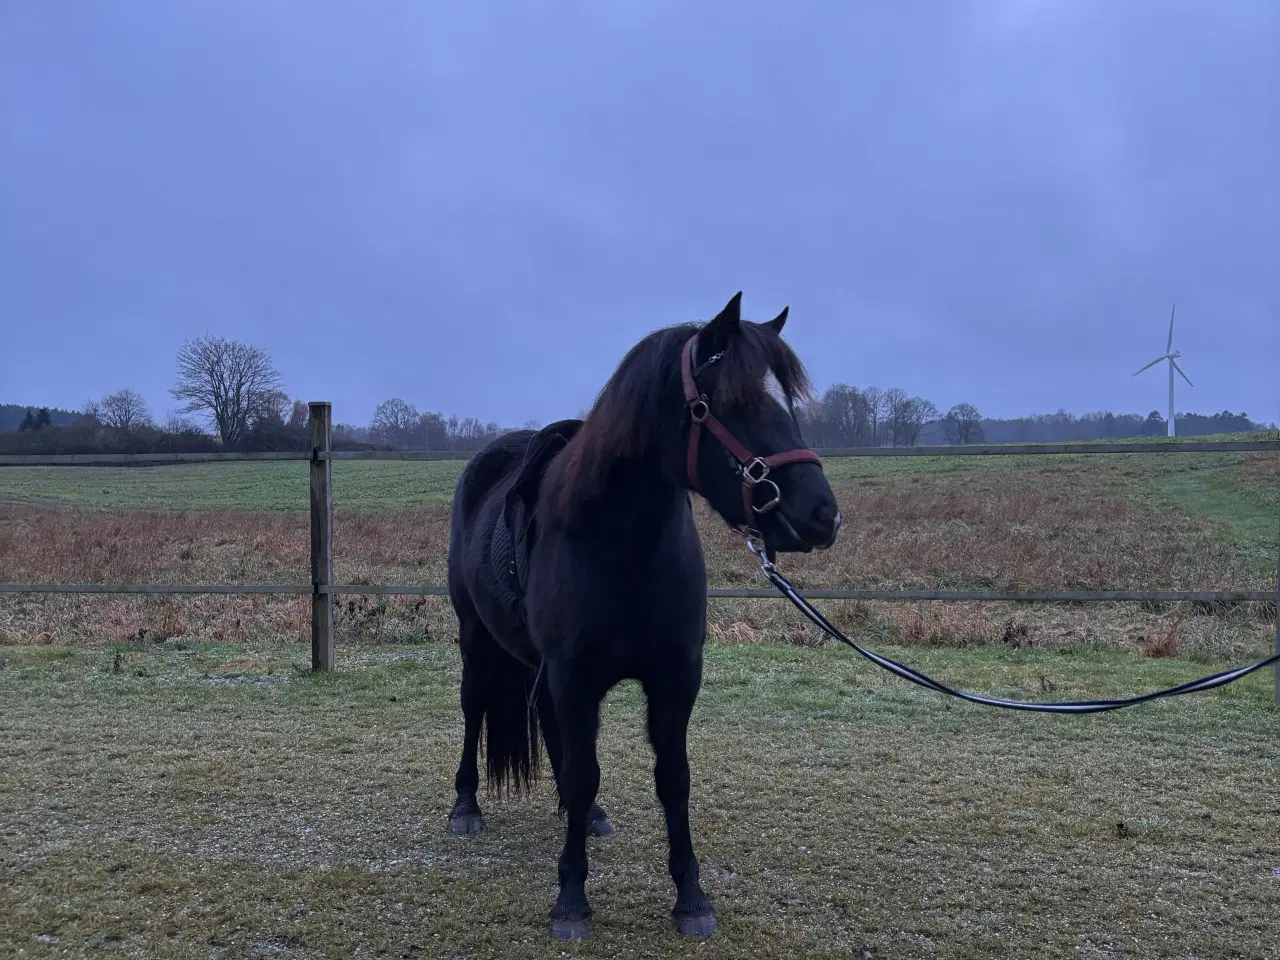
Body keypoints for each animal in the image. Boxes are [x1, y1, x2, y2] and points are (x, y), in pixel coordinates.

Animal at [444, 291, 842, 940]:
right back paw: (465, 806)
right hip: (477, 638)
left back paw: (588, 816)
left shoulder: (674, 678)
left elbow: (671, 779)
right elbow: (584, 771)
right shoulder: (575, 676)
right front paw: (571, 899)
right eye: (735, 401)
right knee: (475, 706)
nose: (822, 515)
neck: (622, 543)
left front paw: (691, 897)